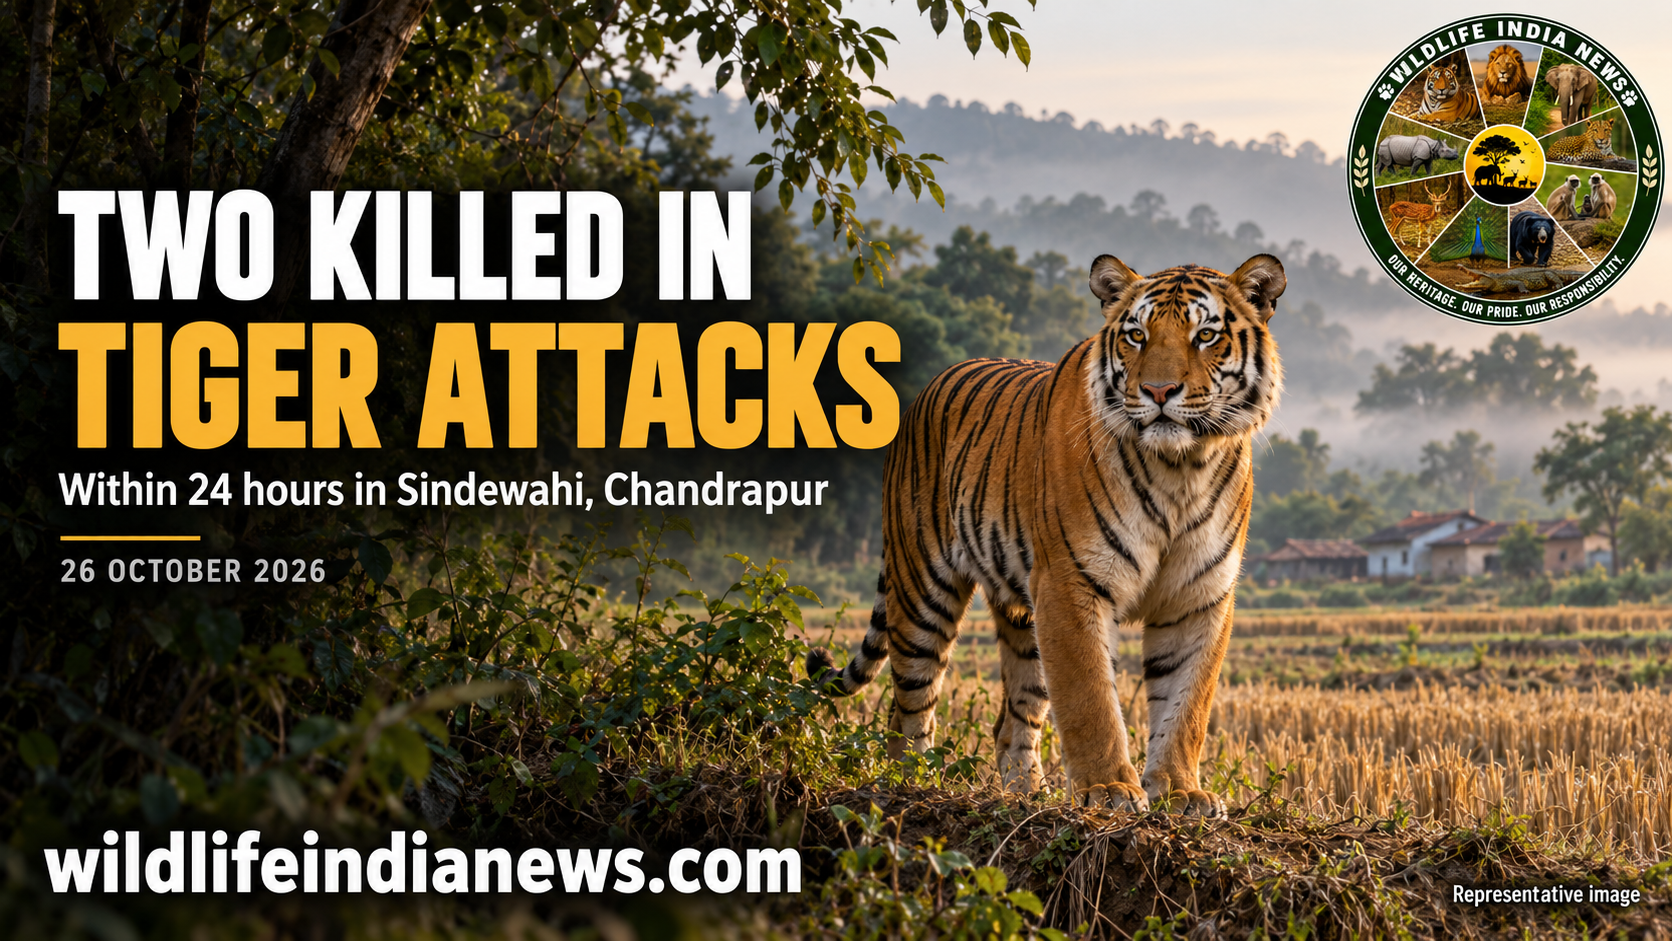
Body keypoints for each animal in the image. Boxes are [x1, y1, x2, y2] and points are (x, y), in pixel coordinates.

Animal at [808, 253, 1286, 816]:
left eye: (1206, 335)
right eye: (1137, 335)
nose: (1159, 392)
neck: (1180, 469)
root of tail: (925, 390)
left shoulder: (1197, 597)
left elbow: (1186, 704)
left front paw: (1180, 792)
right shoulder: (1071, 583)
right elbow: (1089, 696)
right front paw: (1109, 789)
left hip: (1024, 616)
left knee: (1009, 720)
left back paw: (1026, 793)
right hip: (923, 588)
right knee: (908, 703)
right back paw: (915, 782)